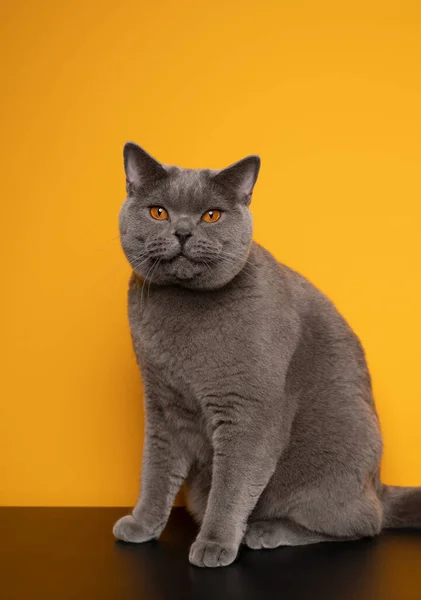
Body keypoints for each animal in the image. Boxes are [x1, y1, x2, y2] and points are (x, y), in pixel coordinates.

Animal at [112, 142, 420, 568]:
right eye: (158, 212)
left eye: (211, 215)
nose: (183, 231)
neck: (182, 309)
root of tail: (377, 484)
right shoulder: (162, 403)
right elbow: (156, 471)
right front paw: (142, 524)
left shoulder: (249, 410)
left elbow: (233, 483)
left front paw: (214, 543)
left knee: (363, 523)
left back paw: (266, 531)